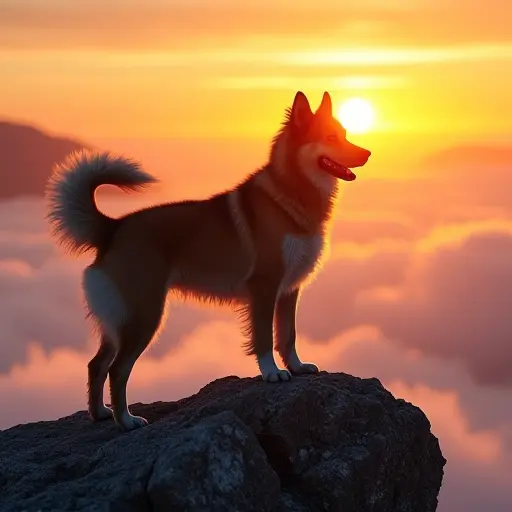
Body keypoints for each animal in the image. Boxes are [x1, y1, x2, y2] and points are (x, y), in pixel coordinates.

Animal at [45, 90, 372, 430]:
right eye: (330, 137)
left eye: (344, 134)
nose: (367, 153)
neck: (289, 193)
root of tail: (112, 227)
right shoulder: (265, 287)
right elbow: (264, 338)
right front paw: (271, 373)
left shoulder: (289, 290)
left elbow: (288, 336)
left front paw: (296, 367)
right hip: (143, 316)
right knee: (116, 369)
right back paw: (126, 420)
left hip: (118, 320)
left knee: (95, 364)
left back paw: (99, 413)